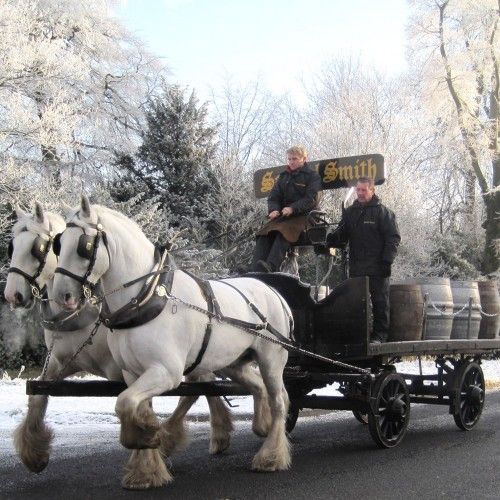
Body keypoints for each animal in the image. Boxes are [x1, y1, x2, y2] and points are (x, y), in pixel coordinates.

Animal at [3, 202, 234, 476]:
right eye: (12, 246)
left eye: (37, 248)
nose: (12, 295)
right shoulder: (61, 363)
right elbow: (38, 397)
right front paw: (34, 453)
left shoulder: (133, 366)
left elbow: (142, 406)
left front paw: (147, 455)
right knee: (204, 384)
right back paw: (215, 434)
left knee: (198, 387)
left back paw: (178, 436)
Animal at [52, 197, 292, 490]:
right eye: (59, 243)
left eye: (84, 246)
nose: (62, 296)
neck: (147, 298)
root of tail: (274, 292)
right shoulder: (133, 374)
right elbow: (135, 407)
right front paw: (146, 466)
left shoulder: (166, 372)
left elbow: (124, 403)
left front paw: (146, 438)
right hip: (233, 363)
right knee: (259, 387)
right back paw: (262, 426)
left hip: (271, 359)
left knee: (279, 399)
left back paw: (271, 456)